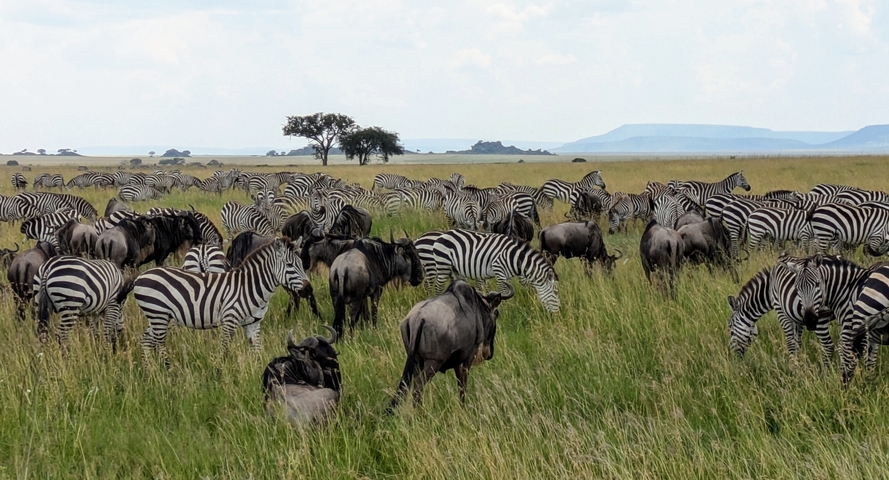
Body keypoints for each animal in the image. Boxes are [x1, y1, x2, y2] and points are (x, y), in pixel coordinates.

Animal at [135, 237, 307, 368]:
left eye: (302, 264)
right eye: (290, 265)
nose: (308, 289)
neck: (249, 287)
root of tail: (140, 276)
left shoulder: (253, 324)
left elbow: (257, 351)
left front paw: (263, 372)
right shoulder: (229, 321)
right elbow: (224, 350)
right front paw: (219, 372)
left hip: (158, 316)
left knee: (146, 340)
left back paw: (149, 372)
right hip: (158, 314)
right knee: (159, 343)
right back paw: (169, 372)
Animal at [419, 229, 560, 313]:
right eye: (555, 292)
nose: (558, 312)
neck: (514, 257)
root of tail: (443, 235)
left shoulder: (507, 275)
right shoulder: (499, 270)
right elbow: (503, 291)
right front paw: (505, 310)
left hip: (454, 269)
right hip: (442, 265)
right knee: (436, 287)